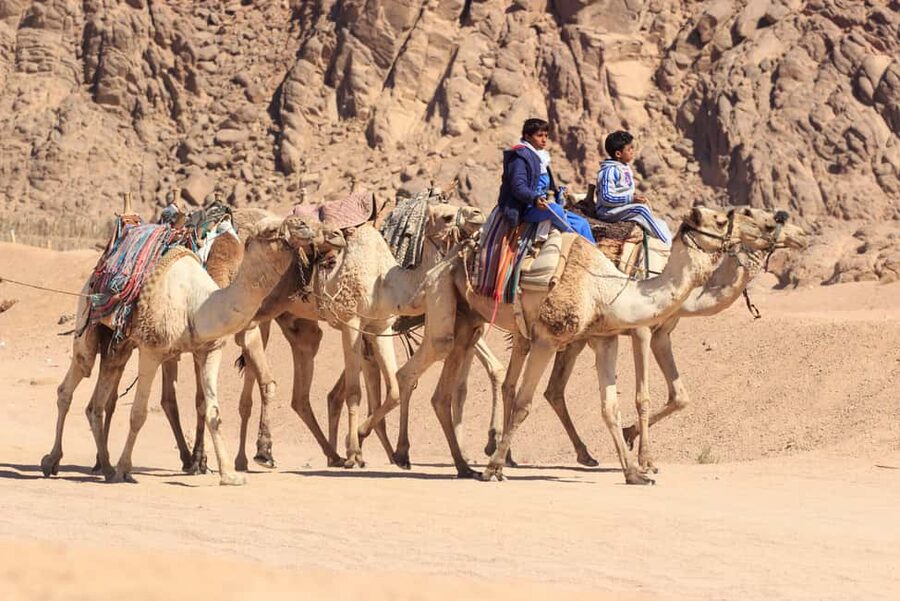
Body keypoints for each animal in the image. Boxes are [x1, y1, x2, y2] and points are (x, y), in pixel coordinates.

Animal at [41, 215, 335, 485]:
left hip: (120, 345)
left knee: (97, 403)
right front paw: (126, 469)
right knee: (71, 383)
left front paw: (229, 474)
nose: (305, 225)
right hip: (88, 324)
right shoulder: (152, 350)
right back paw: (54, 460)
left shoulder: (209, 350)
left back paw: (106, 466)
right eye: (272, 229)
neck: (197, 306)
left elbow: (213, 412)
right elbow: (138, 413)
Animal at [359, 207, 775, 483]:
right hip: (444, 306)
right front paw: (495, 468)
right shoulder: (549, 337)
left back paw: (462, 465)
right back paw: (375, 450)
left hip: (470, 322)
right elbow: (524, 403)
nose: (776, 225)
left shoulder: (605, 338)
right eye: (723, 218)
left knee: (443, 393)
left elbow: (610, 407)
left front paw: (634, 472)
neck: (606, 288)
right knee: (412, 370)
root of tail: (440, 263)